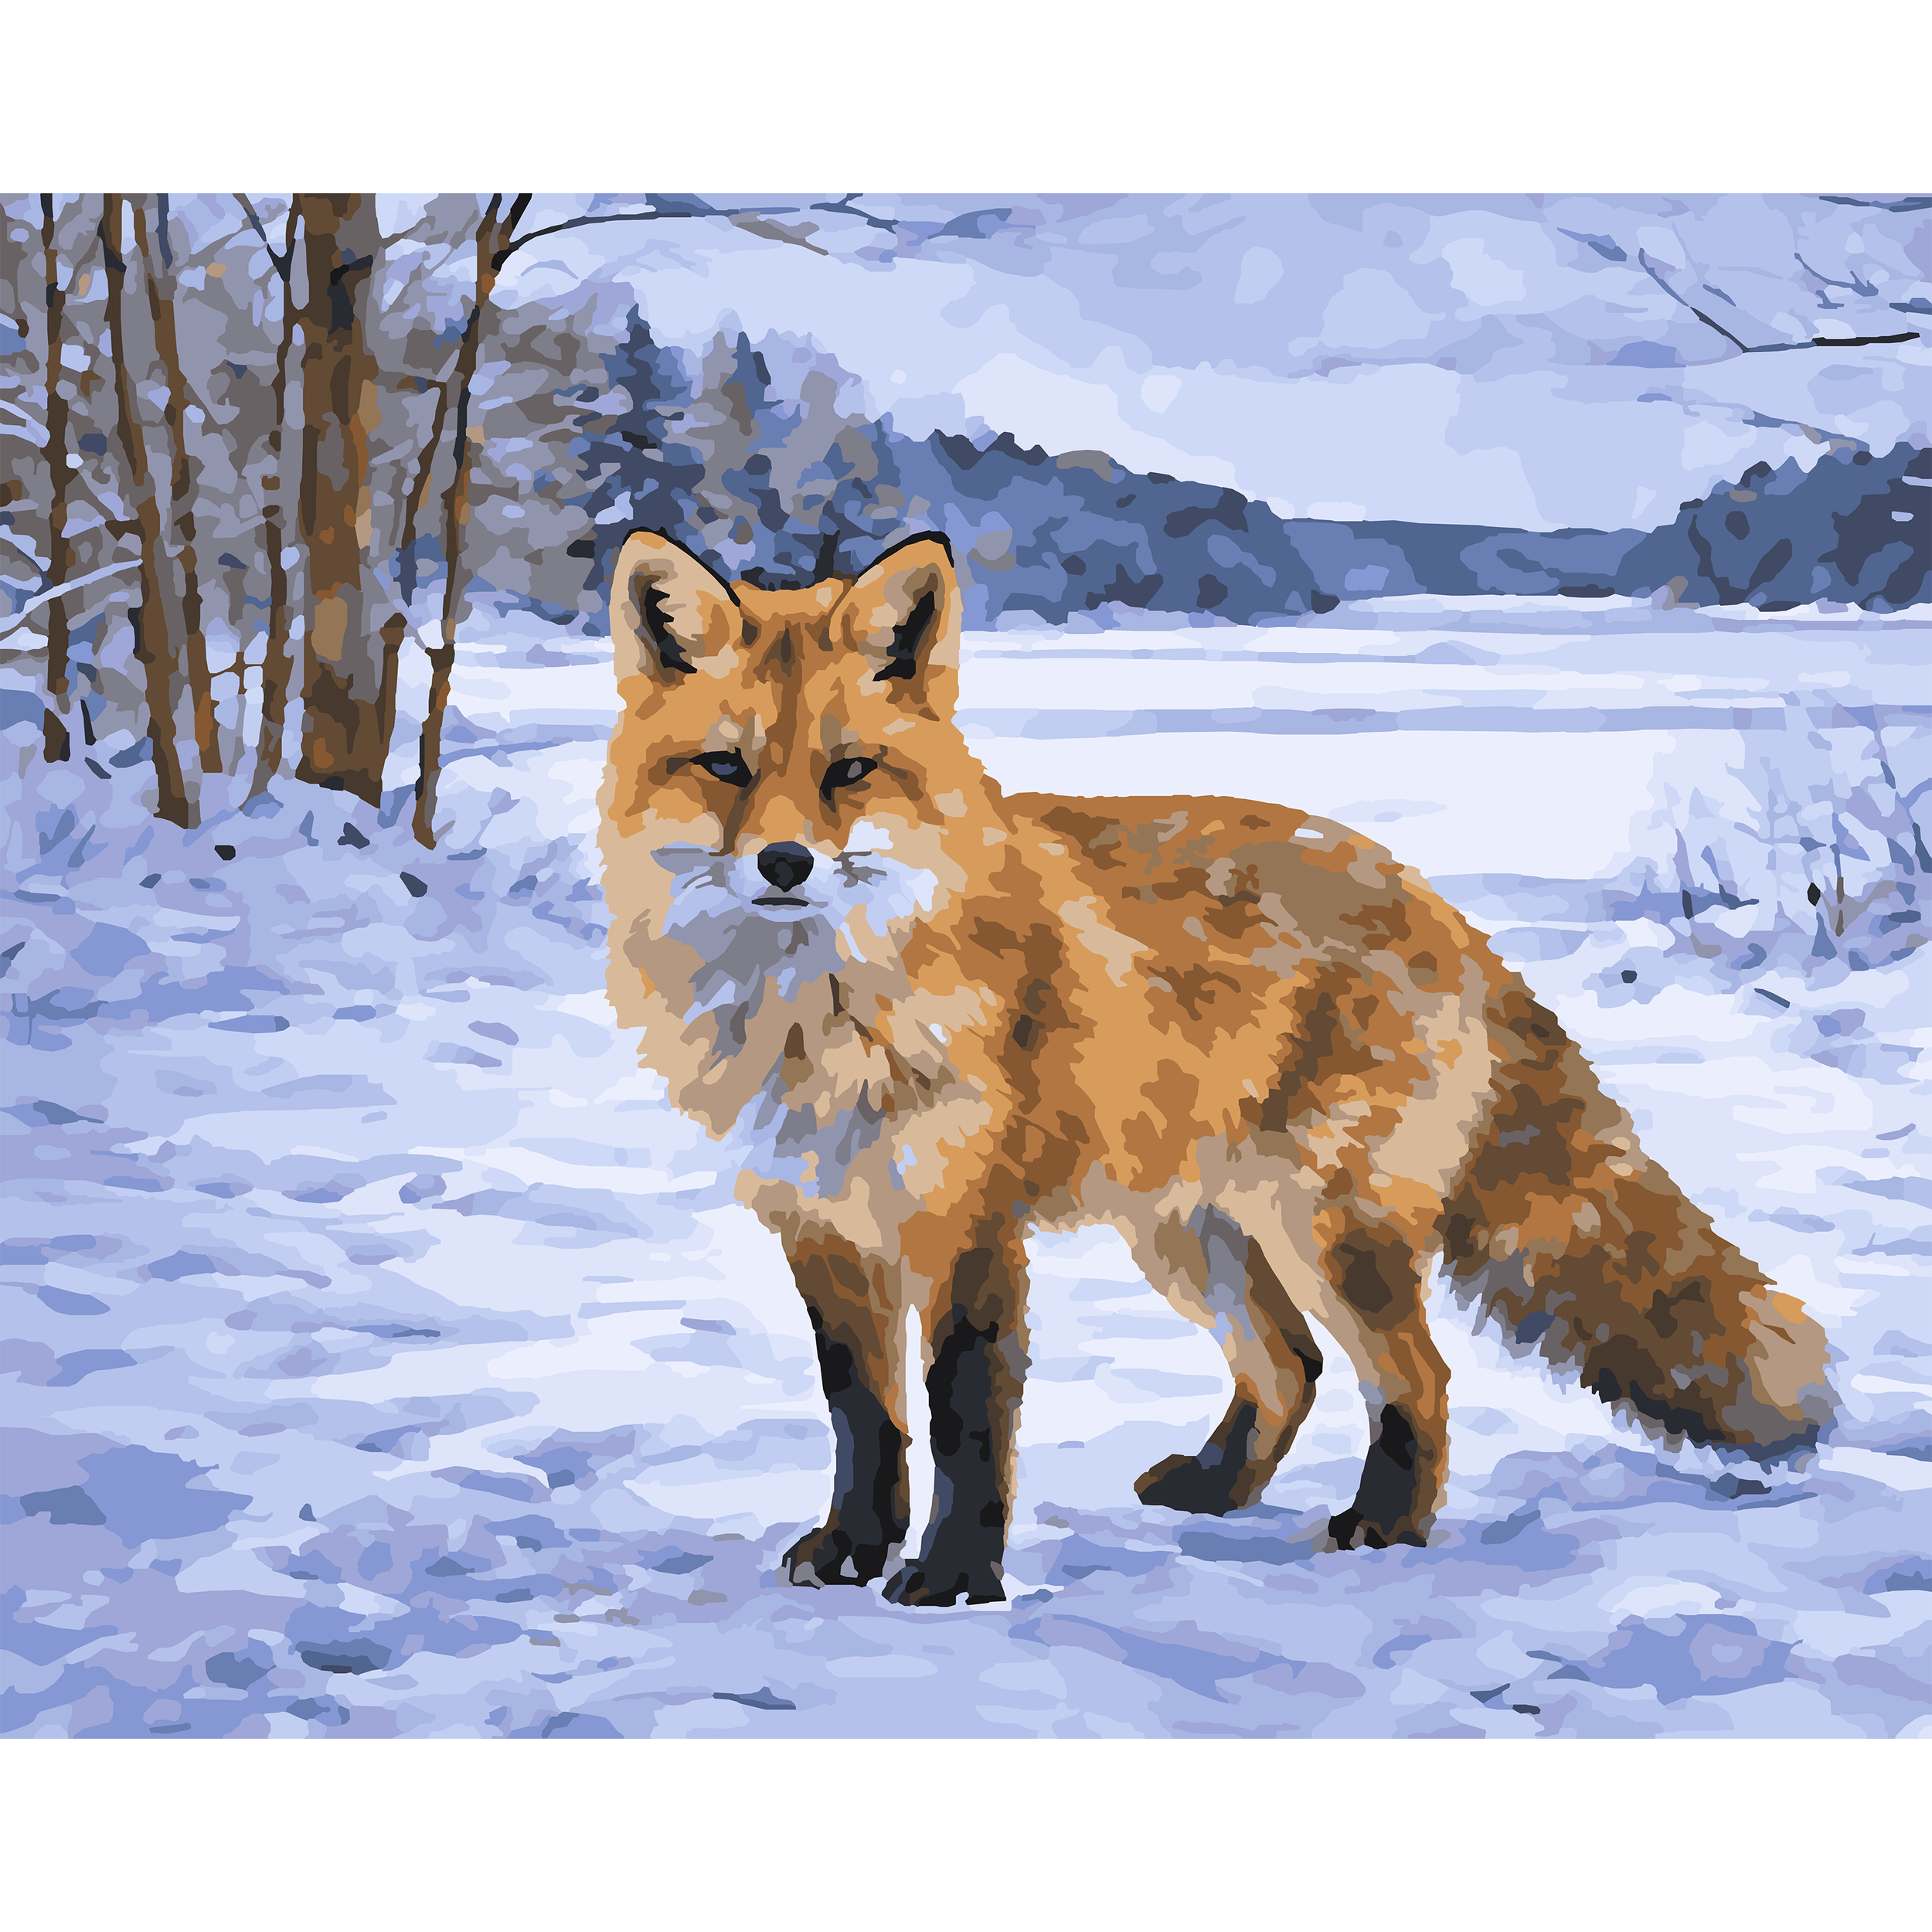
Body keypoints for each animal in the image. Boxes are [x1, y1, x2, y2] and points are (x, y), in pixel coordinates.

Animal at [596, 527, 1838, 1607]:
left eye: (850, 770)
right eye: (725, 767)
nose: (785, 862)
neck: (817, 1021)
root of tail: (1431, 897)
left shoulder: (966, 1223)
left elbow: (962, 1417)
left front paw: (952, 1581)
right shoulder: (821, 1224)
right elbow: (863, 1414)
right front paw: (854, 1549)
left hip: (1324, 1233)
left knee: (1414, 1378)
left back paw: (1386, 1528)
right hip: (1193, 1237)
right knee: (1292, 1368)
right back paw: (1215, 1490)